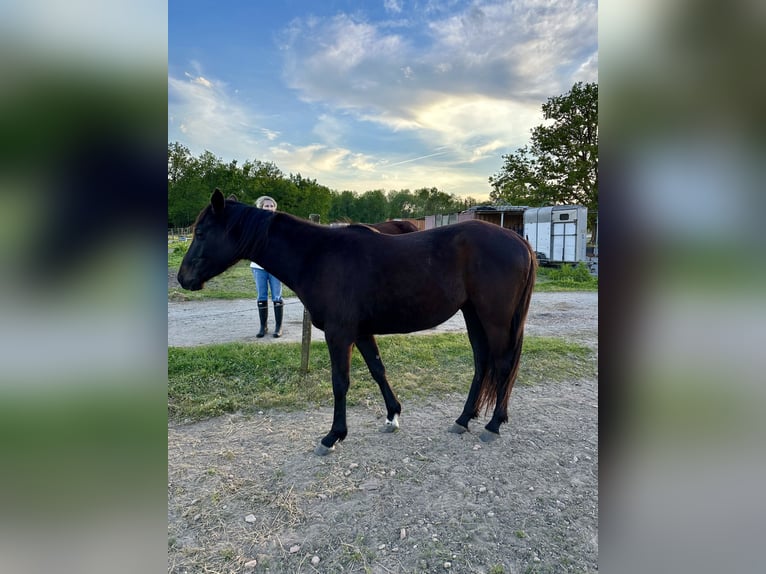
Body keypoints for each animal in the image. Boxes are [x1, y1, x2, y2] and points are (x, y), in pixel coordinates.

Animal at [178, 189, 537, 455]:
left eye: (201, 232)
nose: (183, 278)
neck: (319, 256)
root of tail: (519, 241)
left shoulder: (339, 335)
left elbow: (340, 382)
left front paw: (333, 436)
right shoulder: (361, 333)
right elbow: (378, 370)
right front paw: (393, 416)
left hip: (495, 318)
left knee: (502, 365)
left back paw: (493, 425)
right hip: (473, 314)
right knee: (482, 363)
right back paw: (463, 420)